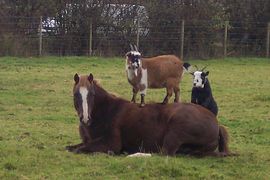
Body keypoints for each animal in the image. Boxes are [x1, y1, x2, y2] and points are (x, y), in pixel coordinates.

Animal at [66, 73, 233, 158]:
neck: (106, 112)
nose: (85, 119)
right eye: (75, 95)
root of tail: (216, 124)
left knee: (164, 153)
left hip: (176, 131)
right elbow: (71, 147)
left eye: (92, 94)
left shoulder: (111, 143)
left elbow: (80, 149)